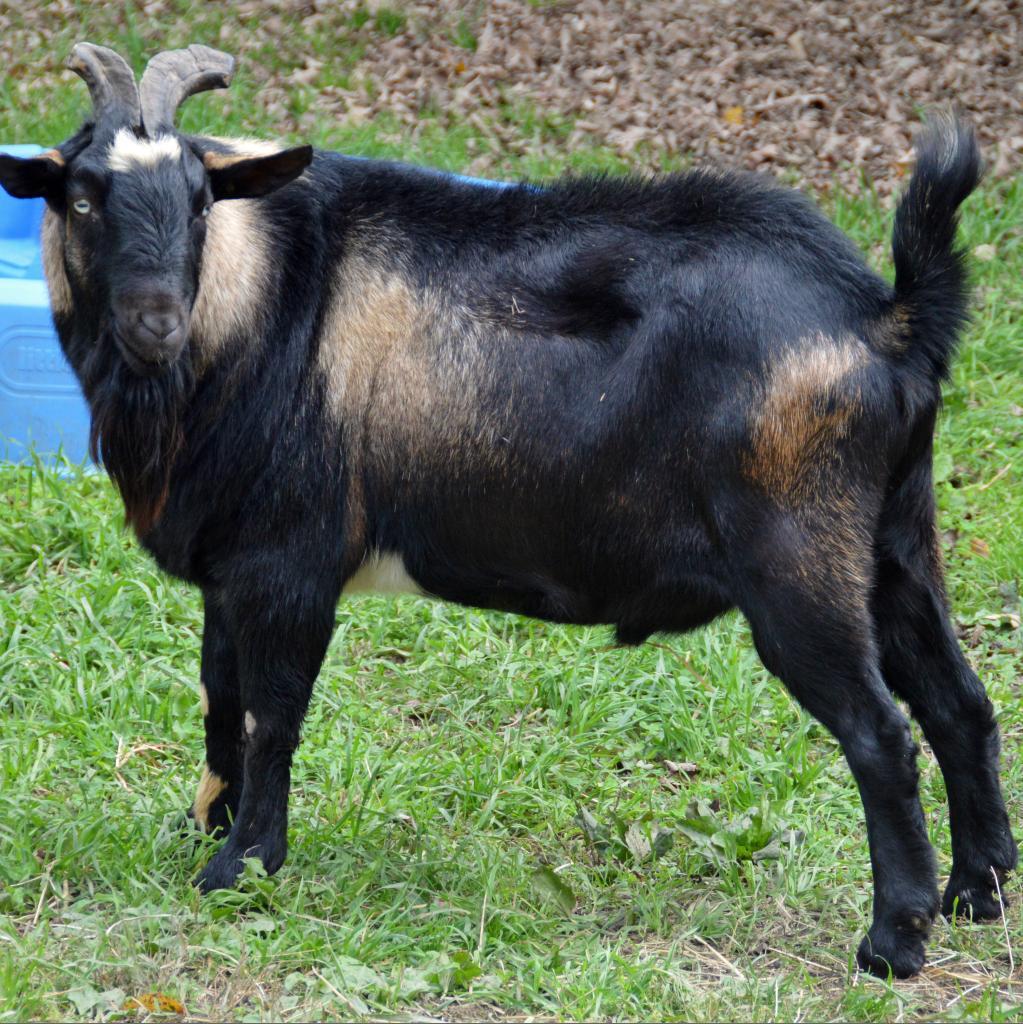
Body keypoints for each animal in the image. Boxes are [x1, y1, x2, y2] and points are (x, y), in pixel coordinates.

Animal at [0, 42, 1015, 979]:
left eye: (201, 201)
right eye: (82, 198)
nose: (156, 323)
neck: (257, 312)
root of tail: (887, 321)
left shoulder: (290, 558)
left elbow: (271, 713)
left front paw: (242, 867)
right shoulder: (229, 561)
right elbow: (222, 696)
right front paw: (204, 828)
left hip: (796, 554)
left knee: (880, 733)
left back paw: (893, 942)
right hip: (892, 540)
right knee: (958, 701)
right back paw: (977, 895)